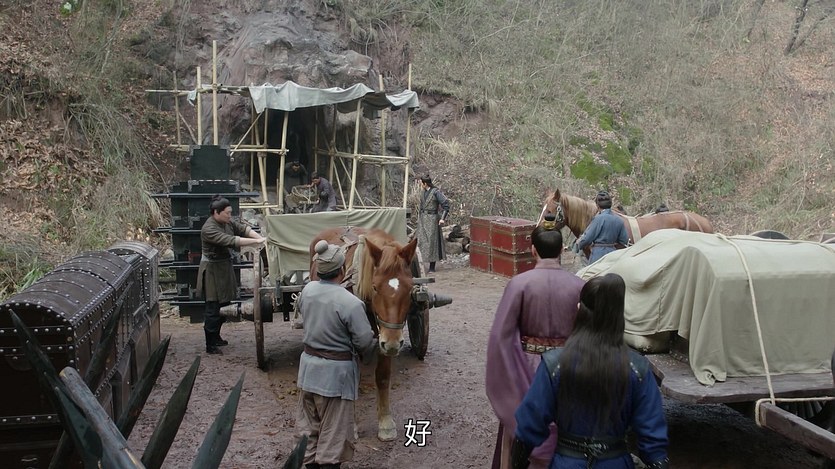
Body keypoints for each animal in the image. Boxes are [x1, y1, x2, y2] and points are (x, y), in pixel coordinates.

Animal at [309, 226, 418, 441]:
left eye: (410, 288)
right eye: (375, 287)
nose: (394, 343)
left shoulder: (385, 336)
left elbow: (382, 376)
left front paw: (385, 421)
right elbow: (352, 379)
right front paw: (351, 426)